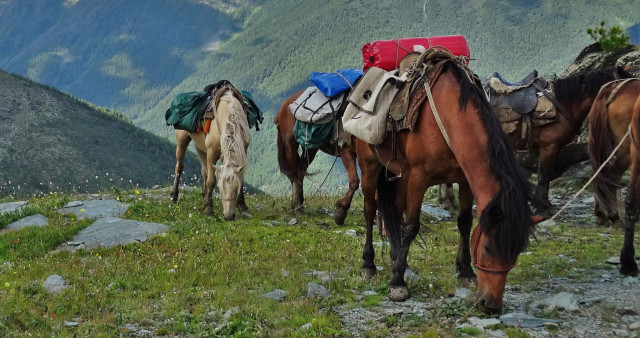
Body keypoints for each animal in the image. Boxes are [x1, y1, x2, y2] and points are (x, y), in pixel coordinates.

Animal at [170, 86, 250, 220]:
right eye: (220, 189)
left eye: (236, 189)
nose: (228, 216)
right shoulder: (212, 152)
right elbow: (211, 180)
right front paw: (208, 208)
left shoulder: (242, 151)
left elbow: (241, 176)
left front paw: (243, 206)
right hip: (182, 139)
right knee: (179, 167)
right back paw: (174, 196)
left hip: (200, 147)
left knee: (204, 170)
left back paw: (204, 195)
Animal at [274, 88, 360, 224]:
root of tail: (284, 106)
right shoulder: (346, 150)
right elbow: (354, 182)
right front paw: (340, 213)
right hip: (290, 145)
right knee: (295, 174)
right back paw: (297, 207)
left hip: (310, 148)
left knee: (301, 170)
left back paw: (300, 205)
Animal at [356, 48, 540, 312]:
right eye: (488, 248)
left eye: (515, 253)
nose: (491, 304)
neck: (450, 116)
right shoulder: (419, 179)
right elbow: (412, 226)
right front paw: (397, 283)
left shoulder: (464, 181)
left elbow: (464, 222)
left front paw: (466, 272)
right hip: (369, 165)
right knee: (370, 210)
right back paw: (368, 265)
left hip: (400, 175)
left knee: (394, 211)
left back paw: (395, 256)